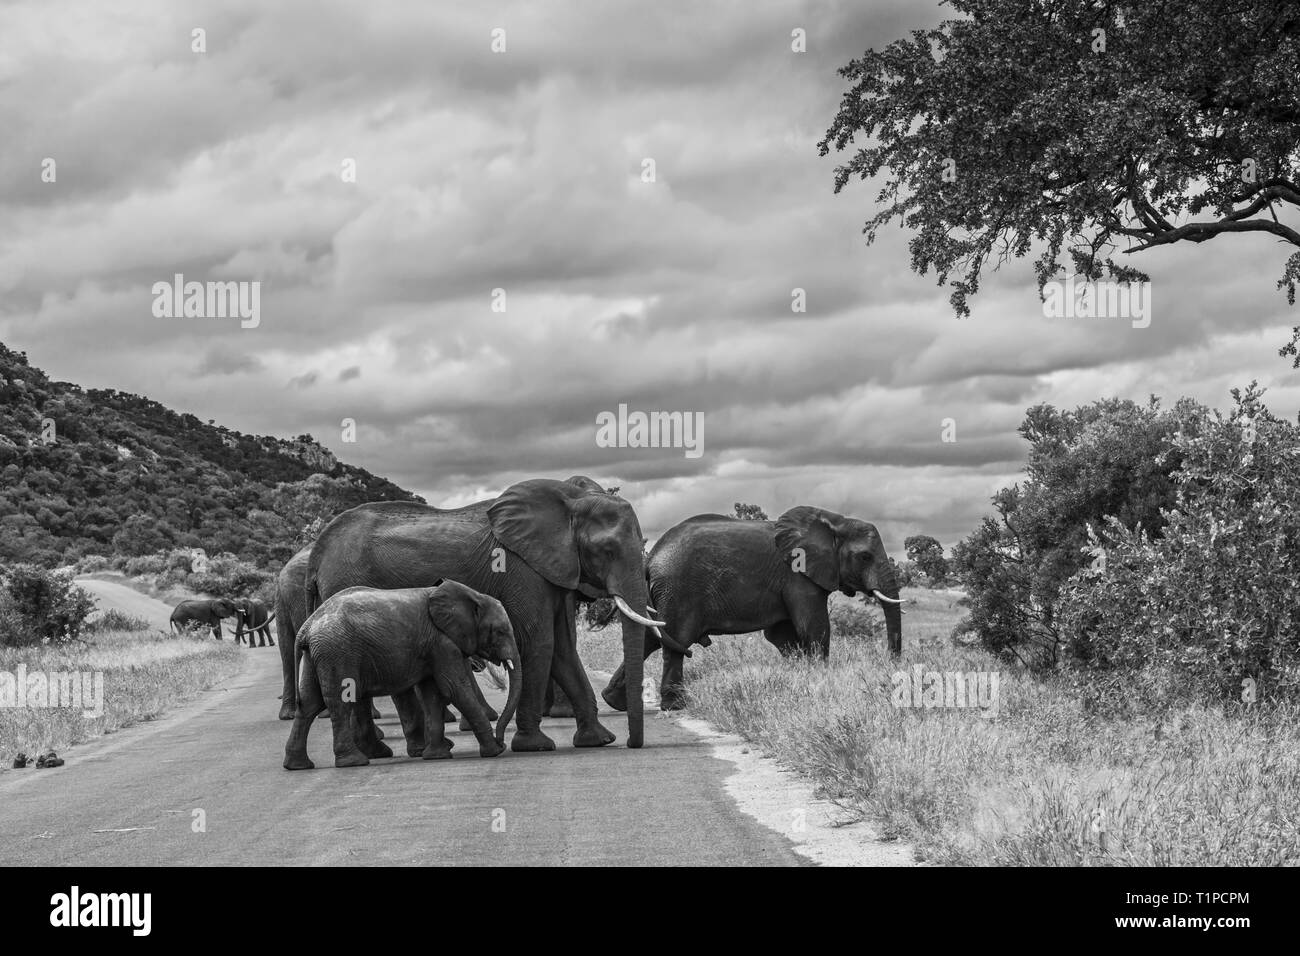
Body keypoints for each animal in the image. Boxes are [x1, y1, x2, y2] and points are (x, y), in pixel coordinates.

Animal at [286, 574, 522, 770]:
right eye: (501, 631)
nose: (502, 739)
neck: (472, 595)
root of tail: (307, 626)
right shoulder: (442, 642)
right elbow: (454, 689)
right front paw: (495, 751)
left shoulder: (432, 646)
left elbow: (431, 694)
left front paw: (436, 756)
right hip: (337, 651)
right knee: (341, 701)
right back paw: (354, 762)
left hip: (318, 654)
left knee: (310, 704)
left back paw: (297, 765)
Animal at [300, 476, 676, 749]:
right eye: (607, 550)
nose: (634, 744)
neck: (570, 501)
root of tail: (317, 554)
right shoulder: (522, 568)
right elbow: (540, 642)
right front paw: (534, 746)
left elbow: (564, 649)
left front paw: (598, 741)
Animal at [600, 509, 899, 712]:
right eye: (865, 557)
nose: (893, 666)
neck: (833, 520)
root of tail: (650, 557)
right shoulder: (797, 576)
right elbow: (814, 627)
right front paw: (819, 681)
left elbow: (782, 635)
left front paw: (800, 676)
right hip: (679, 589)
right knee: (676, 640)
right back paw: (676, 704)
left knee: (652, 637)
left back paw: (614, 702)